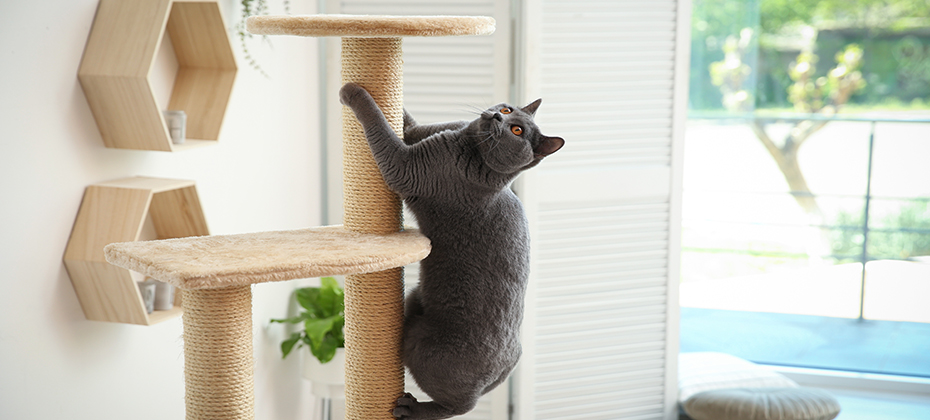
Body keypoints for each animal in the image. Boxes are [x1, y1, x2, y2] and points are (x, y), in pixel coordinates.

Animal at [338, 83, 560, 420]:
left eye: (517, 130)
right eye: (508, 110)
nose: (497, 115)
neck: (466, 141)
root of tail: (501, 374)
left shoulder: (406, 166)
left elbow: (378, 123)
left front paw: (352, 91)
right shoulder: (419, 133)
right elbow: (405, 122)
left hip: (427, 351)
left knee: (460, 406)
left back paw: (411, 408)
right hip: (416, 301)